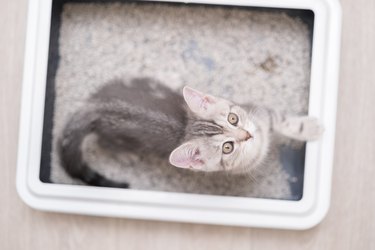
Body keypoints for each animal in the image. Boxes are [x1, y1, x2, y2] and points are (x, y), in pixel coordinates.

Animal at [58, 77, 324, 188]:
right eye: (228, 147)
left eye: (234, 118)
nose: (247, 135)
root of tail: (93, 107)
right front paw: (313, 128)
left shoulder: (259, 114)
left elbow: (281, 120)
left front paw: (308, 127)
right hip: (114, 137)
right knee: (107, 145)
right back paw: (126, 155)